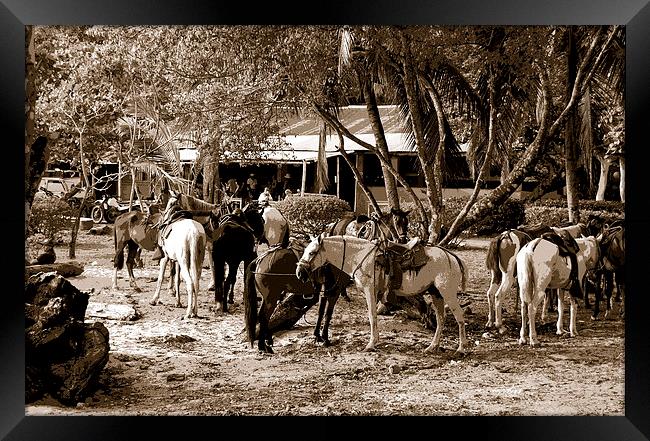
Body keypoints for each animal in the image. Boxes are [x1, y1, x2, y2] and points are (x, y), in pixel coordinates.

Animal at [294, 235, 466, 352]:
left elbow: (372, 315)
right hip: (436, 294)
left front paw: (371, 343)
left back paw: (461, 348)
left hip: (448, 293)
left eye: (312, 252)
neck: (359, 256)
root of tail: (452, 257)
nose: (299, 273)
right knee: (441, 319)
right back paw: (432, 346)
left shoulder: (370, 290)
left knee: (459, 316)